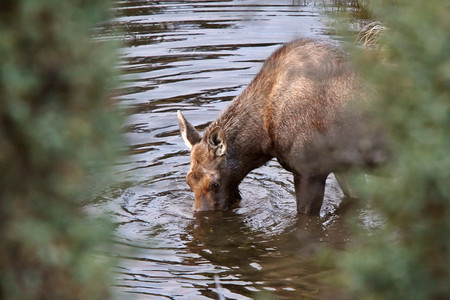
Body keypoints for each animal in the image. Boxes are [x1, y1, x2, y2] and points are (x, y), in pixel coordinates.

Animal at [178, 38, 384, 214]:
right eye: (188, 181)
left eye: (214, 184)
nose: (201, 214)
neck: (265, 138)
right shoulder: (344, 167)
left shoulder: (310, 171)